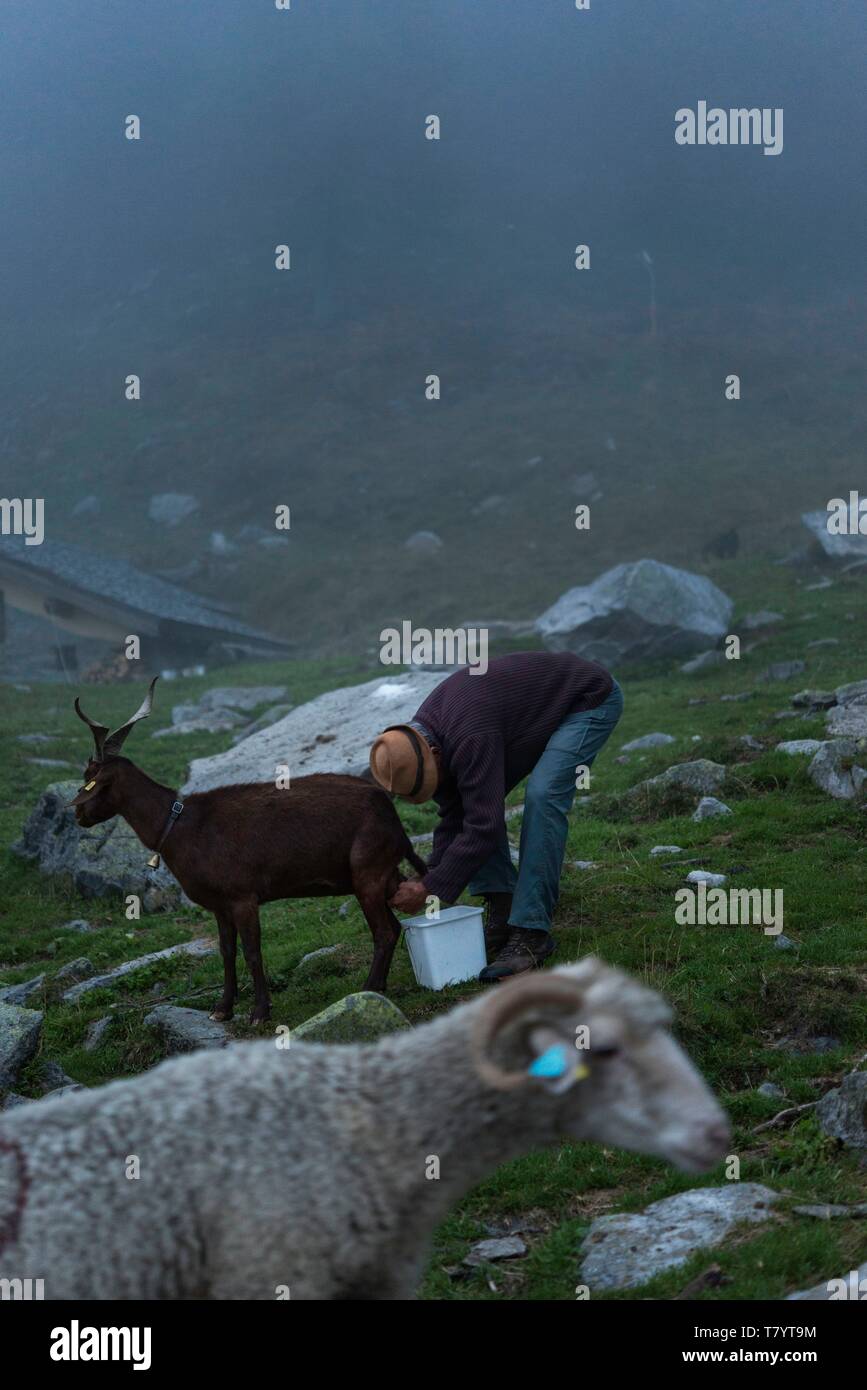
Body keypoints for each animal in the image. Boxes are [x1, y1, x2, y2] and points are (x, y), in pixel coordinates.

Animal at [70, 681, 427, 1023]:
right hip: (384, 874)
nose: (78, 814)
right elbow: (226, 952)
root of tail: (390, 812)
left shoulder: (243, 897)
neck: (182, 826)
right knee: (395, 926)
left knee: (383, 931)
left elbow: (253, 953)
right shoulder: (219, 905)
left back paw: (369, 989)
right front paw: (222, 1009)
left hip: (368, 870)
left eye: (90, 778)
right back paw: (379, 986)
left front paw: (259, 1012)